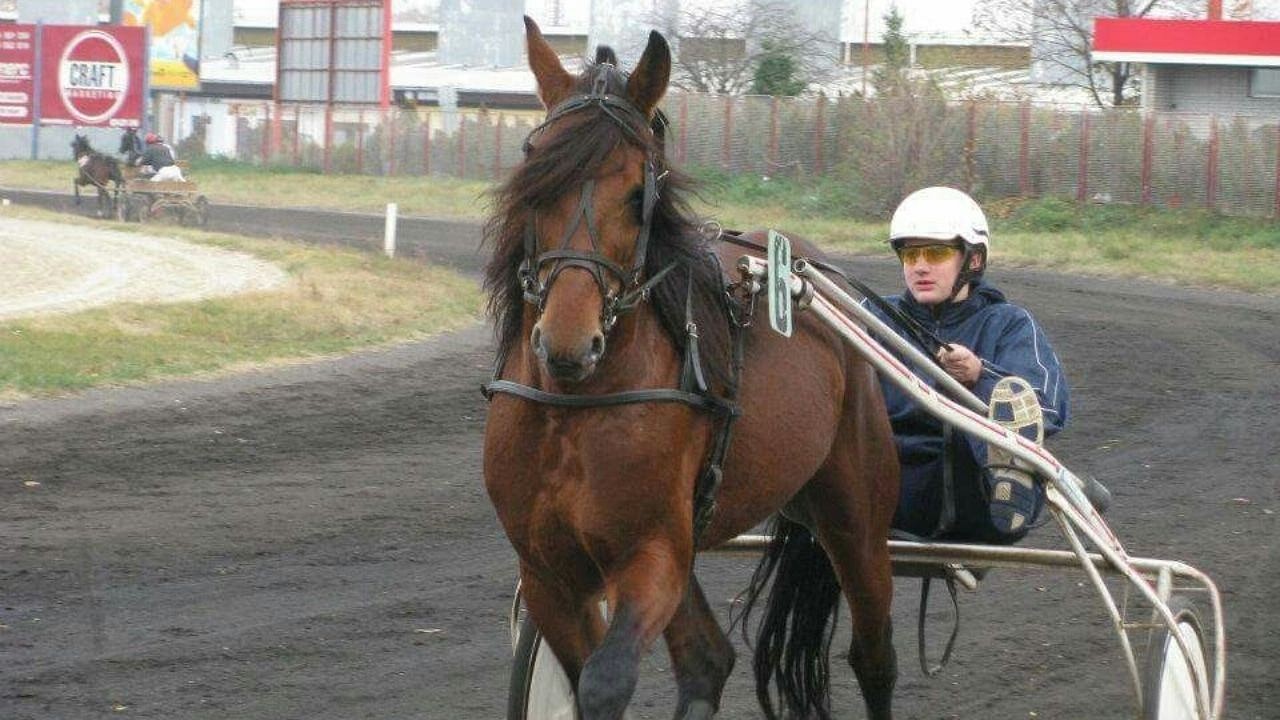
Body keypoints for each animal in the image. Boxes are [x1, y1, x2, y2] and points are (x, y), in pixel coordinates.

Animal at [481, 16, 901, 717]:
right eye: (535, 176)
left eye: (636, 195)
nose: (568, 342)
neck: (574, 408)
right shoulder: (547, 571)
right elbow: (580, 675)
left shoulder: (652, 553)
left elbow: (604, 680)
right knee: (708, 658)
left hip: (857, 511)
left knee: (874, 659)